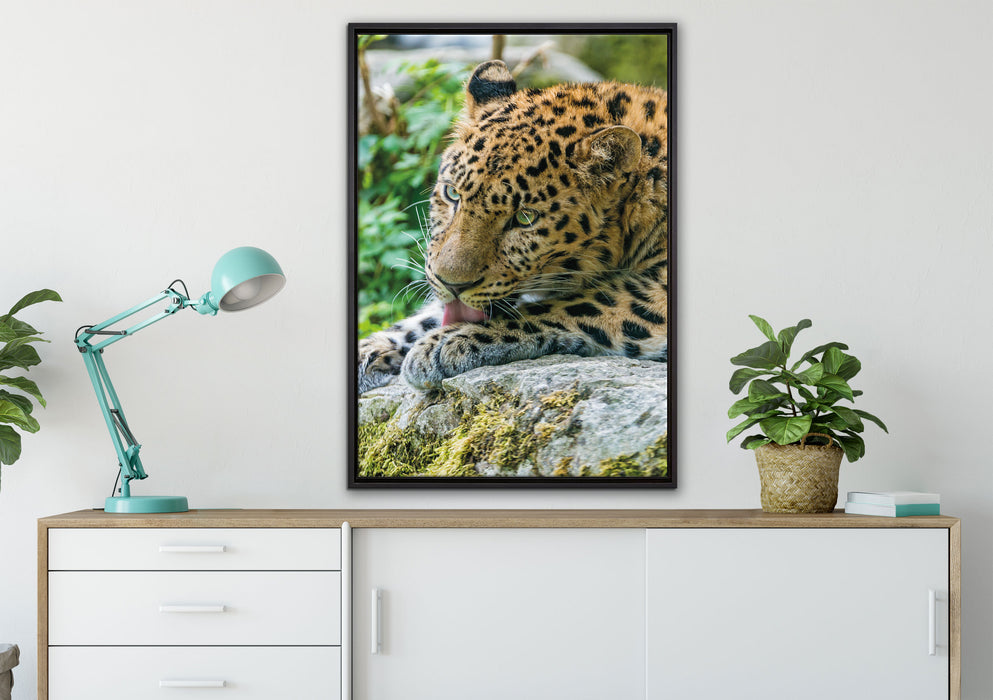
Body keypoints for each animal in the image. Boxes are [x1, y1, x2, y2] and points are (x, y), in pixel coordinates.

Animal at [358, 59, 669, 394]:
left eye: (524, 218)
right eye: (452, 193)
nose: (451, 284)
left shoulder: (656, 291)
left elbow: (576, 304)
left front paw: (447, 341)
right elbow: (430, 314)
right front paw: (371, 347)